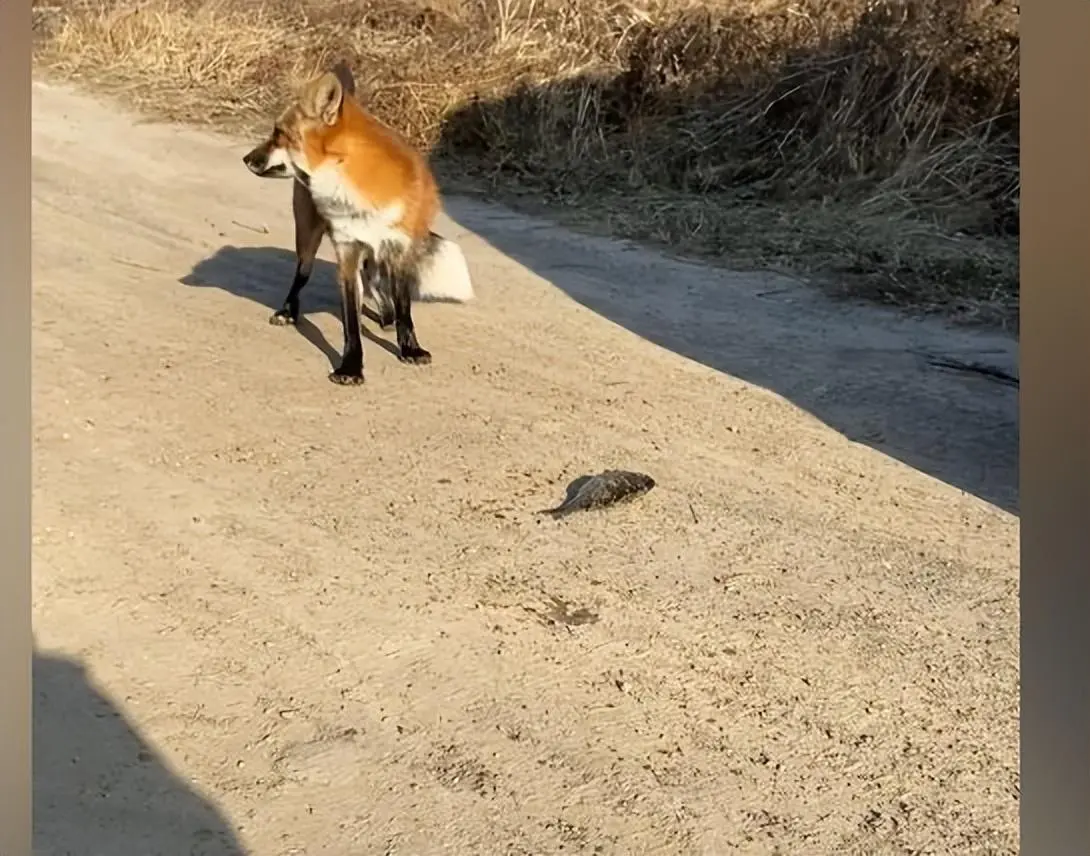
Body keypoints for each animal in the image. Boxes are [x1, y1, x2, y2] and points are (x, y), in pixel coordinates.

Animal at [243, 65, 473, 386]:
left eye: (279, 135)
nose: (246, 159)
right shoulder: (347, 250)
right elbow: (351, 322)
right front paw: (351, 367)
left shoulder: (399, 249)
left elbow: (405, 308)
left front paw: (409, 348)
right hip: (308, 238)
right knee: (302, 275)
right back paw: (288, 311)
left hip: (379, 252)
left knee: (378, 282)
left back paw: (387, 316)